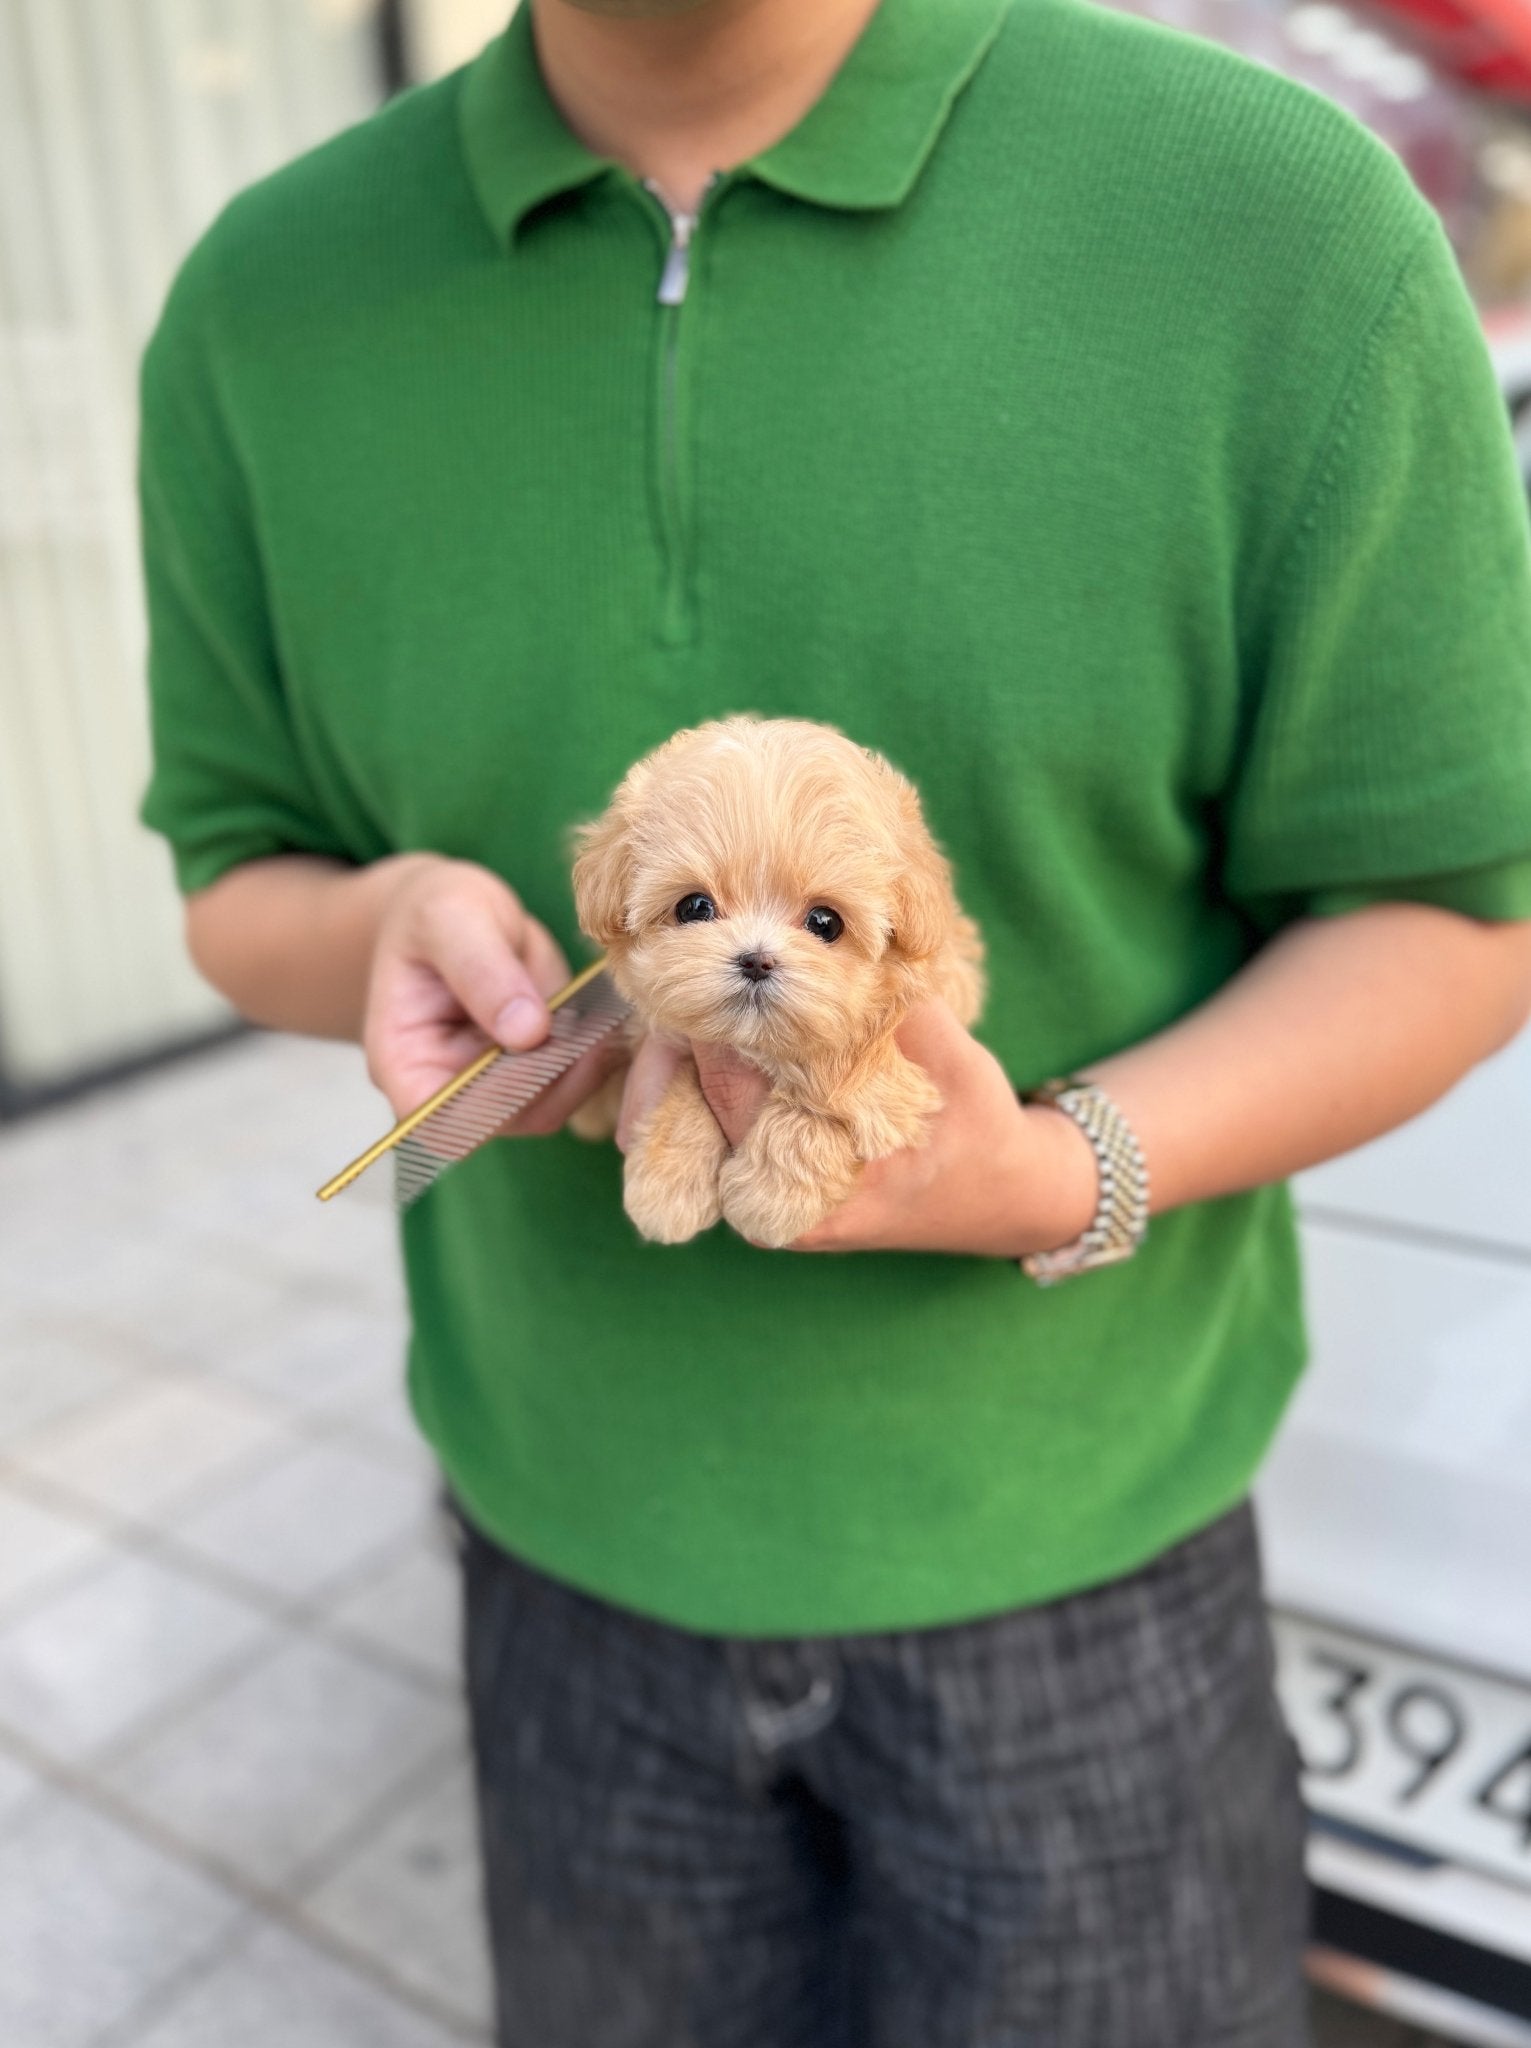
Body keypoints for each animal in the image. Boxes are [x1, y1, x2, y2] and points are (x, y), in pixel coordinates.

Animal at [569, 720, 986, 1245]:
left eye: (825, 922)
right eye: (694, 907)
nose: (756, 960)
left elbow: (831, 1093)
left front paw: (770, 1198)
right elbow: (685, 1078)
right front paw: (669, 1186)